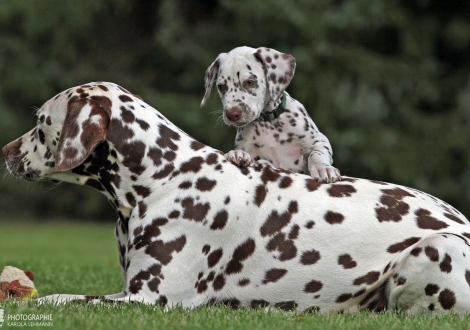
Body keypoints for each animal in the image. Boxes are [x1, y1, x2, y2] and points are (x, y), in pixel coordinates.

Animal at [2, 82, 470, 314]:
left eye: (40, 123)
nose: (4, 152)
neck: (165, 178)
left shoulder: (148, 300)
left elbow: (56, 298)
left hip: (435, 248)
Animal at [200, 47, 340, 183]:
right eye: (221, 87)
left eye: (250, 82)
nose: (231, 114)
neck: (268, 123)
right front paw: (236, 154)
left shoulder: (319, 141)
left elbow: (316, 154)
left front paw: (323, 168)